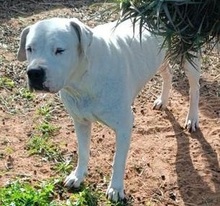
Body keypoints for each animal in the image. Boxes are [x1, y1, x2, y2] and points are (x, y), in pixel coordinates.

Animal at [16, 17, 199, 201]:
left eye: (60, 50)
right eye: (29, 48)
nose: (34, 73)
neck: (82, 80)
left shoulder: (124, 126)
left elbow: (118, 160)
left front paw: (116, 188)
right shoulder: (80, 122)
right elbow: (83, 151)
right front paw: (78, 176)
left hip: (189, 56)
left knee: (194, 89)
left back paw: (192, 118)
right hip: (160, 58)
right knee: (168, 73)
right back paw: (163, 100)